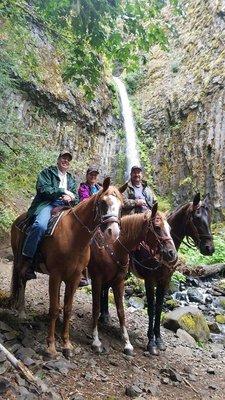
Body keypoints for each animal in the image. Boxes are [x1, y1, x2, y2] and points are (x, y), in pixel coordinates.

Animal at [10, 178, 123, 356]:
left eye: (122, 206)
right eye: (103, 203)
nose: (114, 232)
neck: (74, 236)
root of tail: (18, 220)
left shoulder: (74, 278)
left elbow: (67, 309)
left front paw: (66, 345)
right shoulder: (55, 275)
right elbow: (54, 309)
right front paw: (50, 347)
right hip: (19, 259)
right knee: (22, 281)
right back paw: (20, 312)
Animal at [88, 205, 178, 354]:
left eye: (170, 228)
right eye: (157, 227)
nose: (172, 254)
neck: (114, 246)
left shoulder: (119, 281)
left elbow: (121, 311)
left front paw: (128, 343)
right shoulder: (97, 279)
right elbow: (95, 308)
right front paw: (96, 341)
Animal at [99, 194, 214, 356]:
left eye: (209, 218)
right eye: (196, 218)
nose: (209, 248)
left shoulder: (164, 280)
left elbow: (159, 308)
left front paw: (159, 340)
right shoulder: (150, 279)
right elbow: (151, 308)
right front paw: (151, 342)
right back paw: (103, 316)